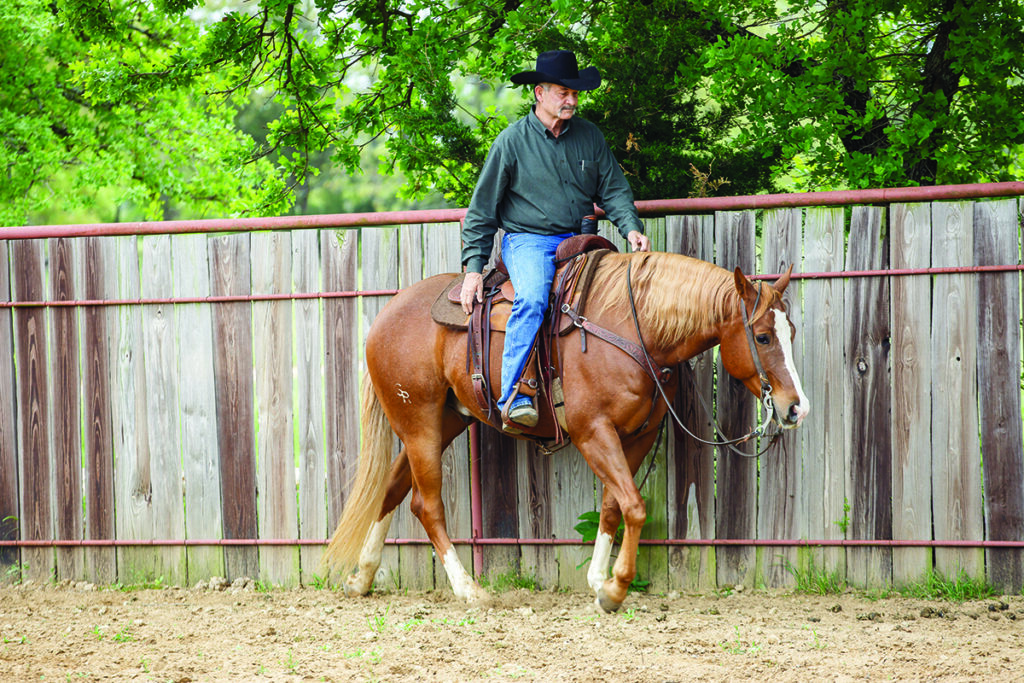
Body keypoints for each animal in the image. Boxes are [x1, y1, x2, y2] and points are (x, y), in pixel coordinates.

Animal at [319, 250, 806, 614]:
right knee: (429, 505)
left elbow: (613, 506)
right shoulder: (594, 432)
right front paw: (615, 589)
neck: (633, 329)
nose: (795, 406)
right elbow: (634, 506)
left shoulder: (637, 436)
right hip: (417, 421)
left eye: (792, 332)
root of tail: (385, 315)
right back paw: (468, 589)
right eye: (763, 337)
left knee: (394, 489)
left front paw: (598, 579)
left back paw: (362, 578)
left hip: (445, 420)